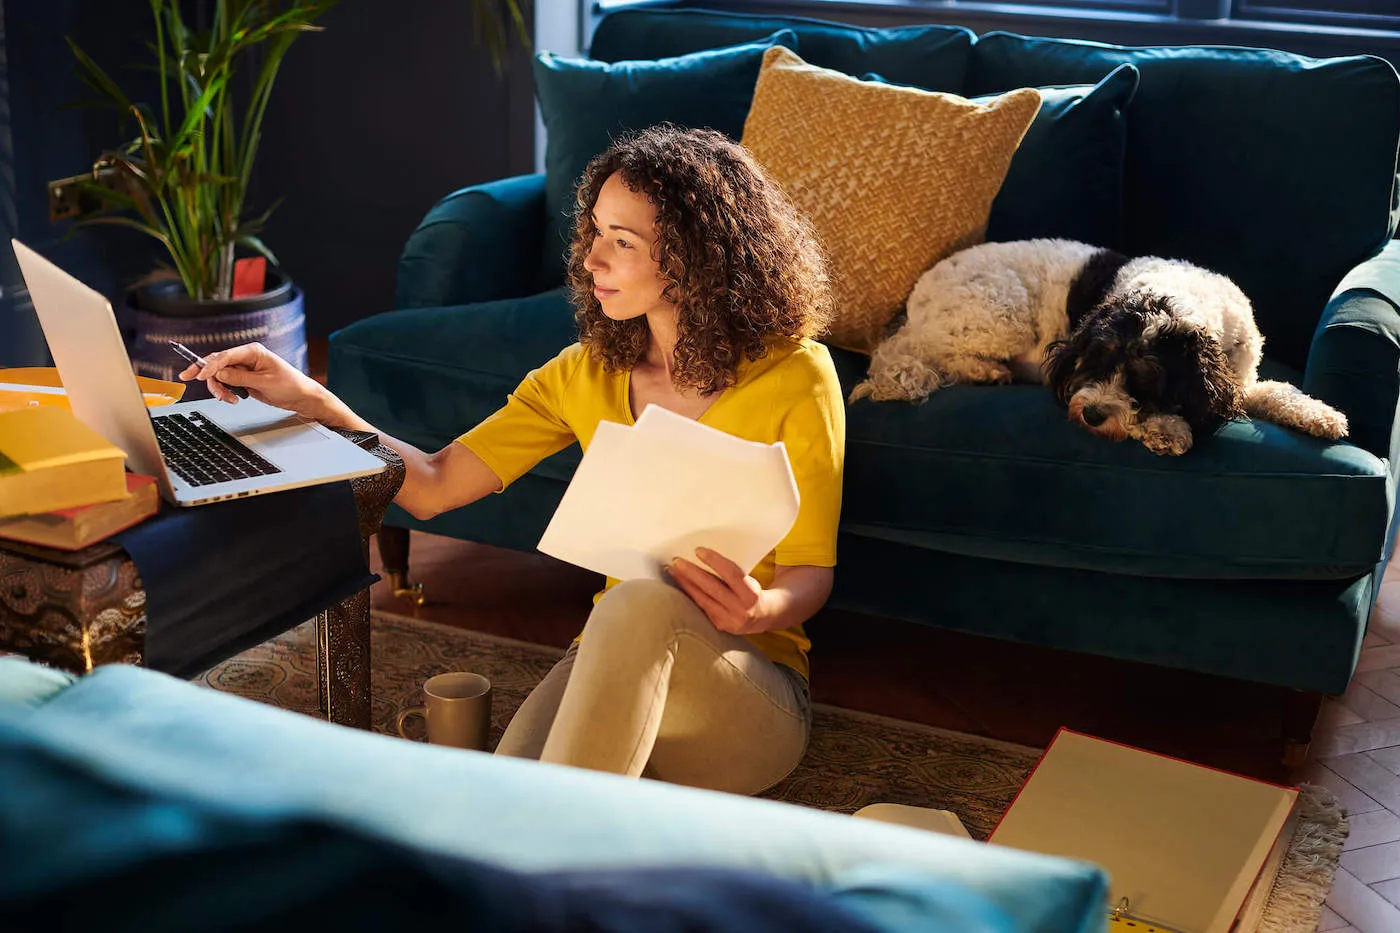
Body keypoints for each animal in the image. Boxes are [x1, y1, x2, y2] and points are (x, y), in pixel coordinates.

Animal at [845, 238, 1349, 456]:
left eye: (1144, 379)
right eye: (1094, 364)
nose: (1090, 414)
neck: (1176, 299)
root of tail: (914, 302)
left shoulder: (1239, 378)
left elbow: (1277, 391)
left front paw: (1322, 415)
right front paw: (1167, 429)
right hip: (999, 314)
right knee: (937, 355)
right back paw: (987, 371)